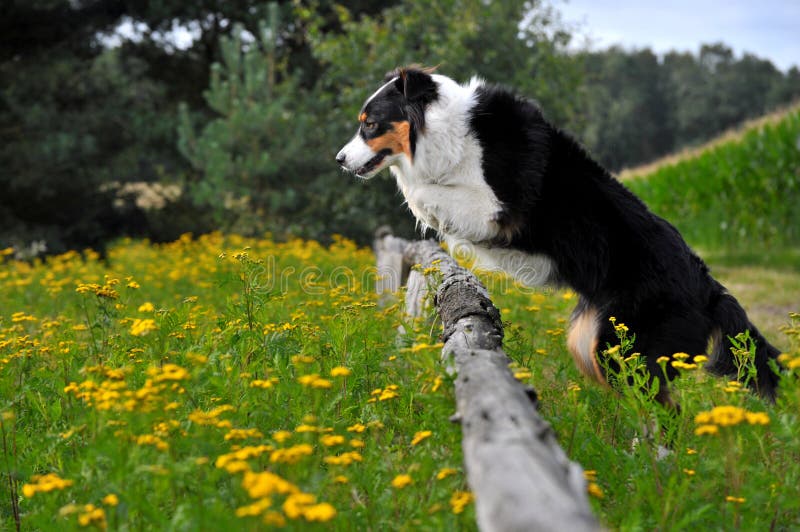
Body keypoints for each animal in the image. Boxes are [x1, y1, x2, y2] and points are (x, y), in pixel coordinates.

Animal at [334, 66, 780, 404]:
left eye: (370, 125)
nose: (339, 160)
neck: (445, 131)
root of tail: (709, 288)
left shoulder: (496, 208)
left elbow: (423, 188)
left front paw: (418, 199)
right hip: (592, 341)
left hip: (628, 346)